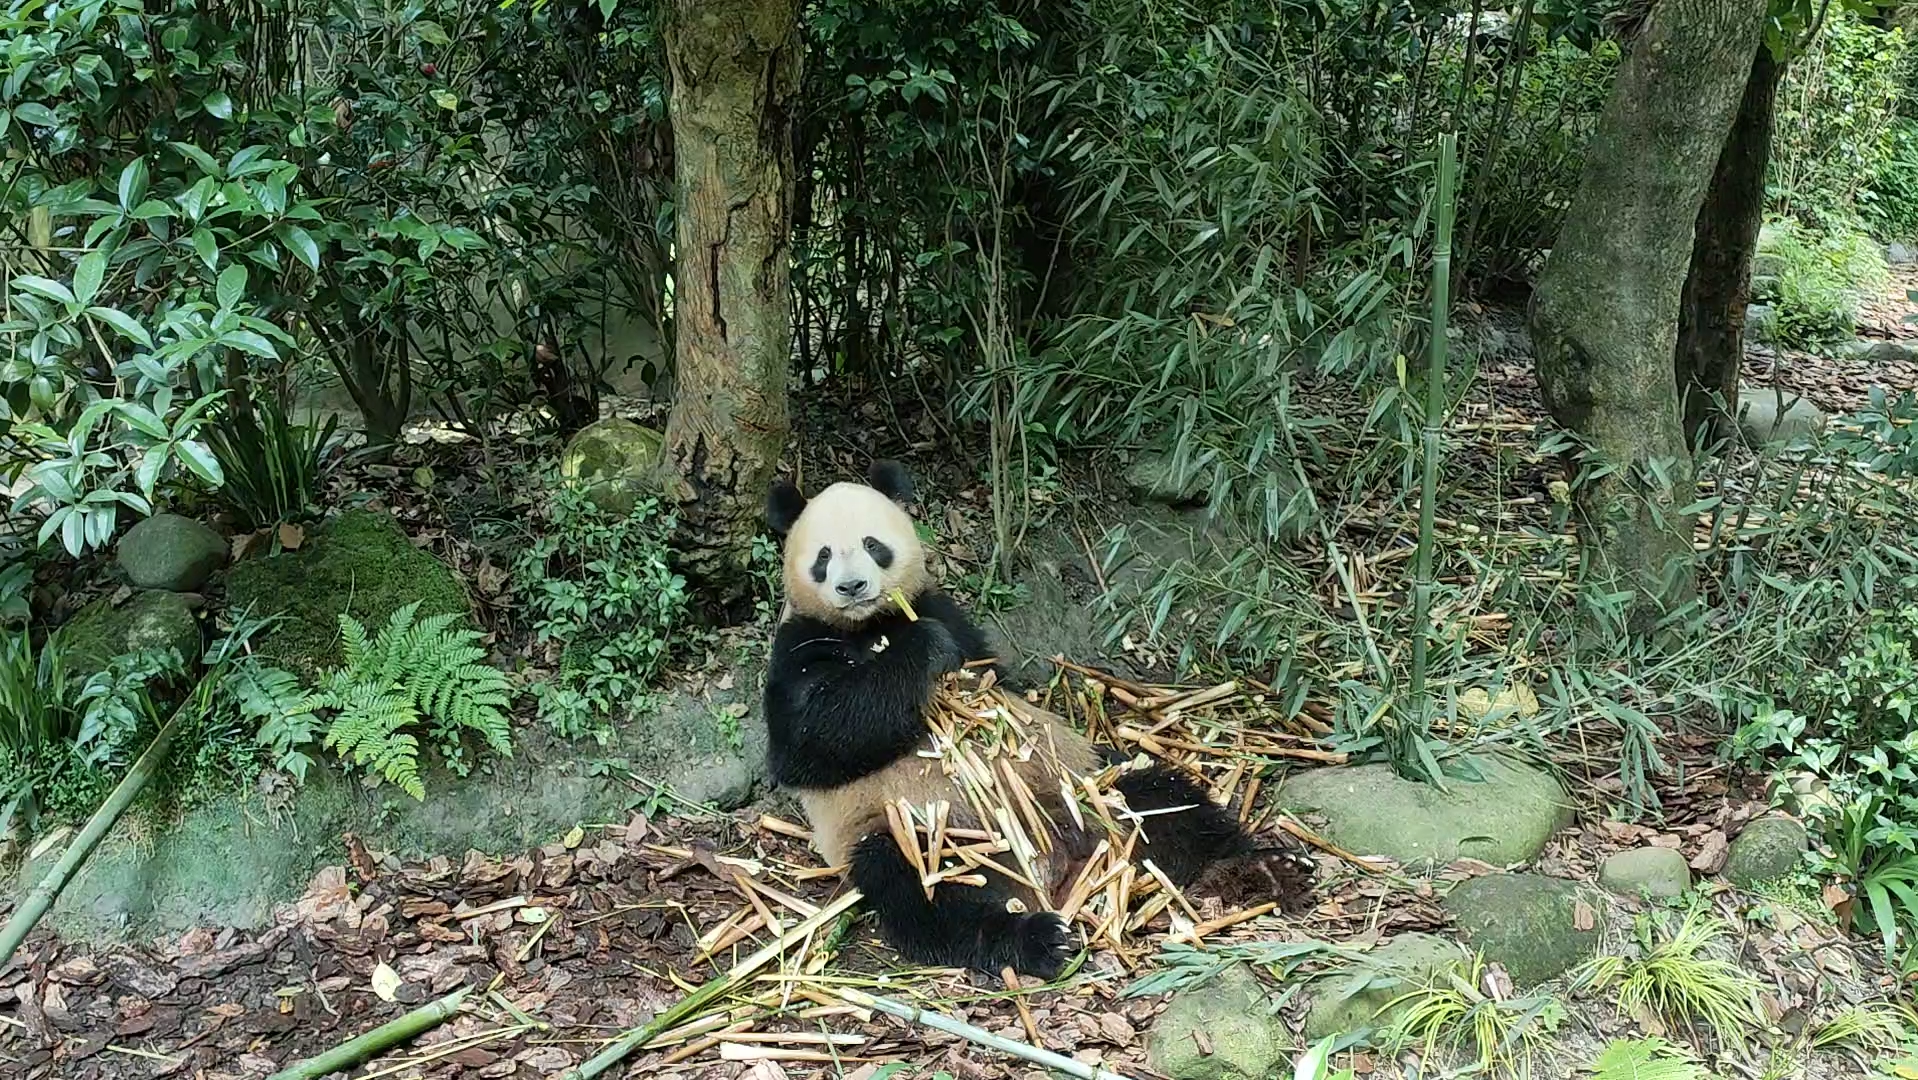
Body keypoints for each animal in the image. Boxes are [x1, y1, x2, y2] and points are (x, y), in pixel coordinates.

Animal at [763, 458, 1319, 982]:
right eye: (823, 556)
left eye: (873, 544)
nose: (852, 586)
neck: (870, 626)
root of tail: (1053, 866)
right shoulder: (798, 646)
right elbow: (810, 744)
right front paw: (924, 649)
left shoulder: (947, 612)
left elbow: (997, 681)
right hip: (920, 833)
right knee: (929, 893)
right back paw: (1037, 939)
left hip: (1082, 786)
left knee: (1162, 800)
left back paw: (1267, 869)